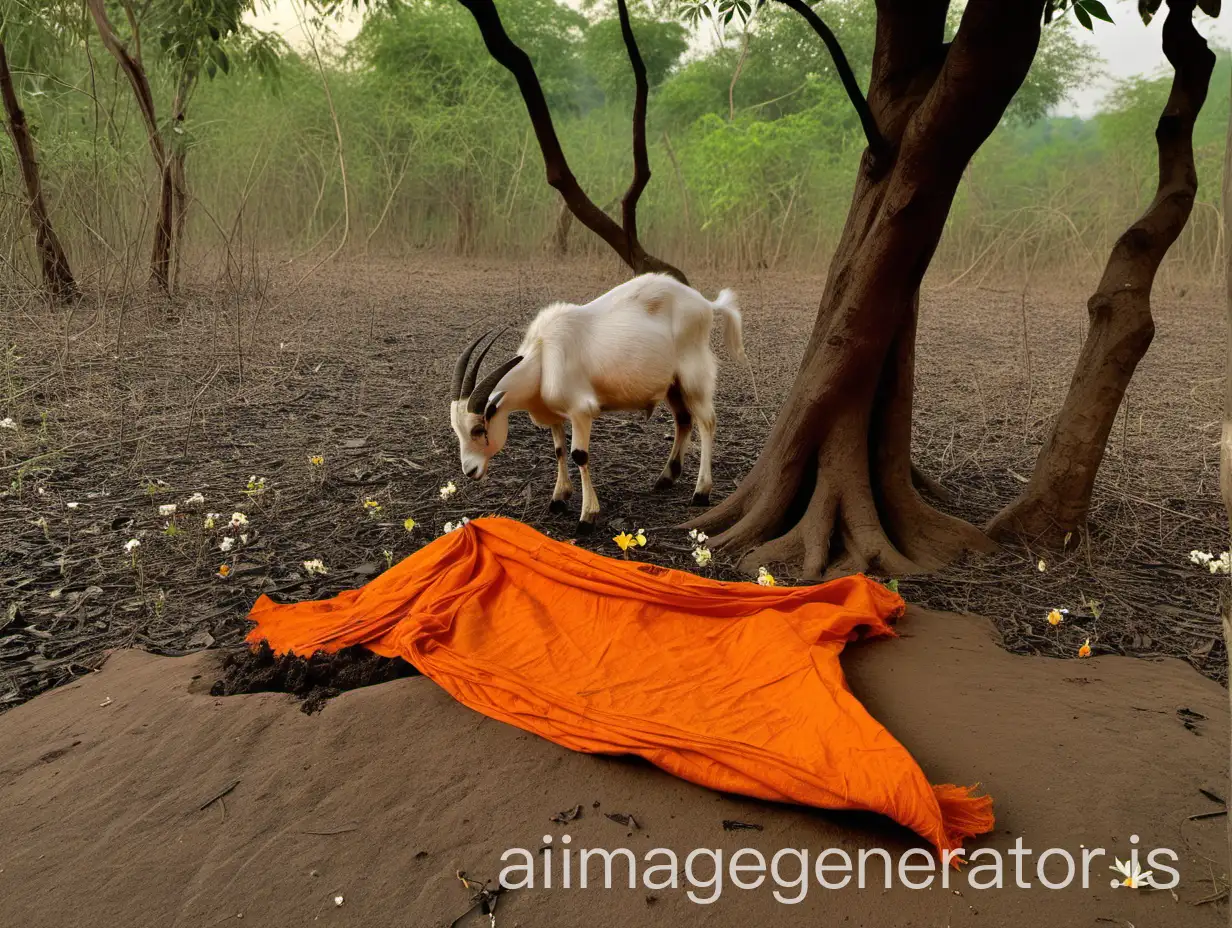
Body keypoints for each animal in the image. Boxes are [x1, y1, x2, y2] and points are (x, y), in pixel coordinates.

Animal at [450, 271, 744, 532]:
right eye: (458, 430)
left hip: (693, 378)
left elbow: (579, 455)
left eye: (479, 428)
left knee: (707, 422)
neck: (544, 355)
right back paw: (665, 478)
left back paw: (701, 492)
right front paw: (559, 499)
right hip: (673, 386)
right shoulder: (556, 414)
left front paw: (587, 518)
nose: (470, 470)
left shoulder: (581, 411)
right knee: (683, 420)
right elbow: (559, 450)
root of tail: (706, 304)